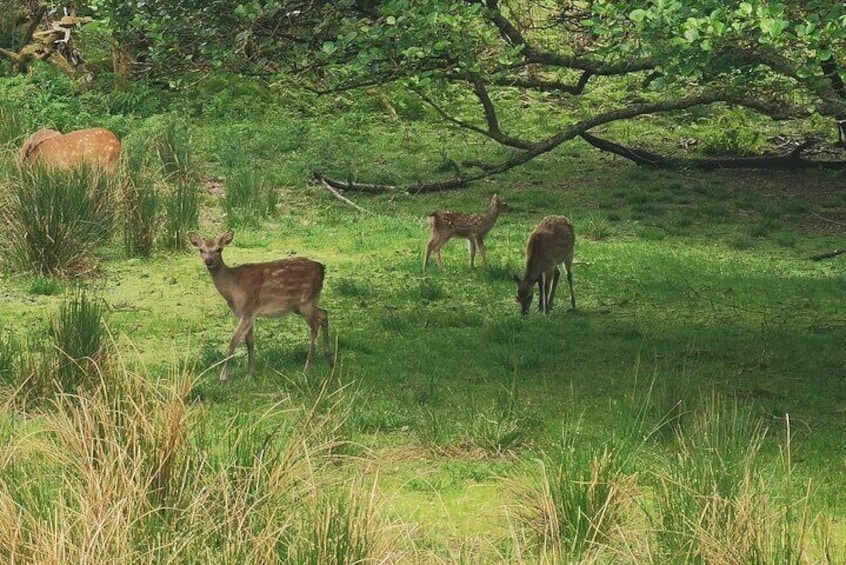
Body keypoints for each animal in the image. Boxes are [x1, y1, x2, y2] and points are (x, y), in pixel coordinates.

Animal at [187, 231, 336, 382]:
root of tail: (322, 268)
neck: (232, 288)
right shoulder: (247, 314)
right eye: (201, 250)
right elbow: (249, 342)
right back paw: (329, 357)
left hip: (306, 301)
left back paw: (308, 367)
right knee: (324, 313)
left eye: (219, 249)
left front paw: (223, 376)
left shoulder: (248, 308)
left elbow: (234, 340)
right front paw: (250, 374)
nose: (209, 261)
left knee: (315, 325)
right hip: (302, 305)